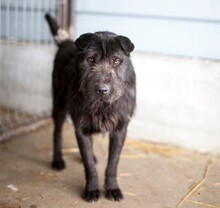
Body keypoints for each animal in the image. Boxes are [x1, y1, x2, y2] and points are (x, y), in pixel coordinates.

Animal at [45, 13, 136, 202]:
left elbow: (112, 163)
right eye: (90, 59)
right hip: (59, 104)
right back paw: (57, 160)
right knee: (57, 132)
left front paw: (112, 188)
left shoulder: (120, 129)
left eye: (117, 61)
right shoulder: (82, 128)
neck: (102, 106)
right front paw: (92, 189)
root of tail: (66, 42)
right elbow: (88, 165)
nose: (102, 89)